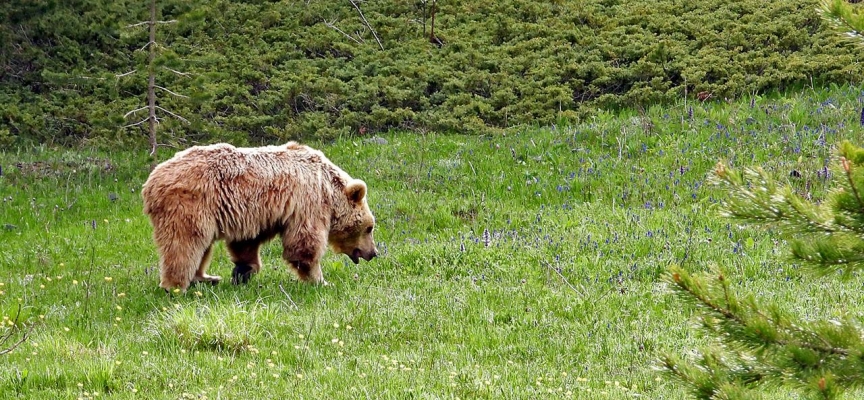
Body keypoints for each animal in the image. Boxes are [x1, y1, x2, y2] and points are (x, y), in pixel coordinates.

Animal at [142, 141, 378, 290]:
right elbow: (304, 244)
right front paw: (321, 281)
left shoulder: (253, 213)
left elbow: (246, 243)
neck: (328, 188)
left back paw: (206, 277)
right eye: (369, 227)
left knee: (201, 247)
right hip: (188, 205)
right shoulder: (307, 202)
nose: (373, 253)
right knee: (184, 245)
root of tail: (150, 182)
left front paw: (242, 271)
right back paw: (175, 286)